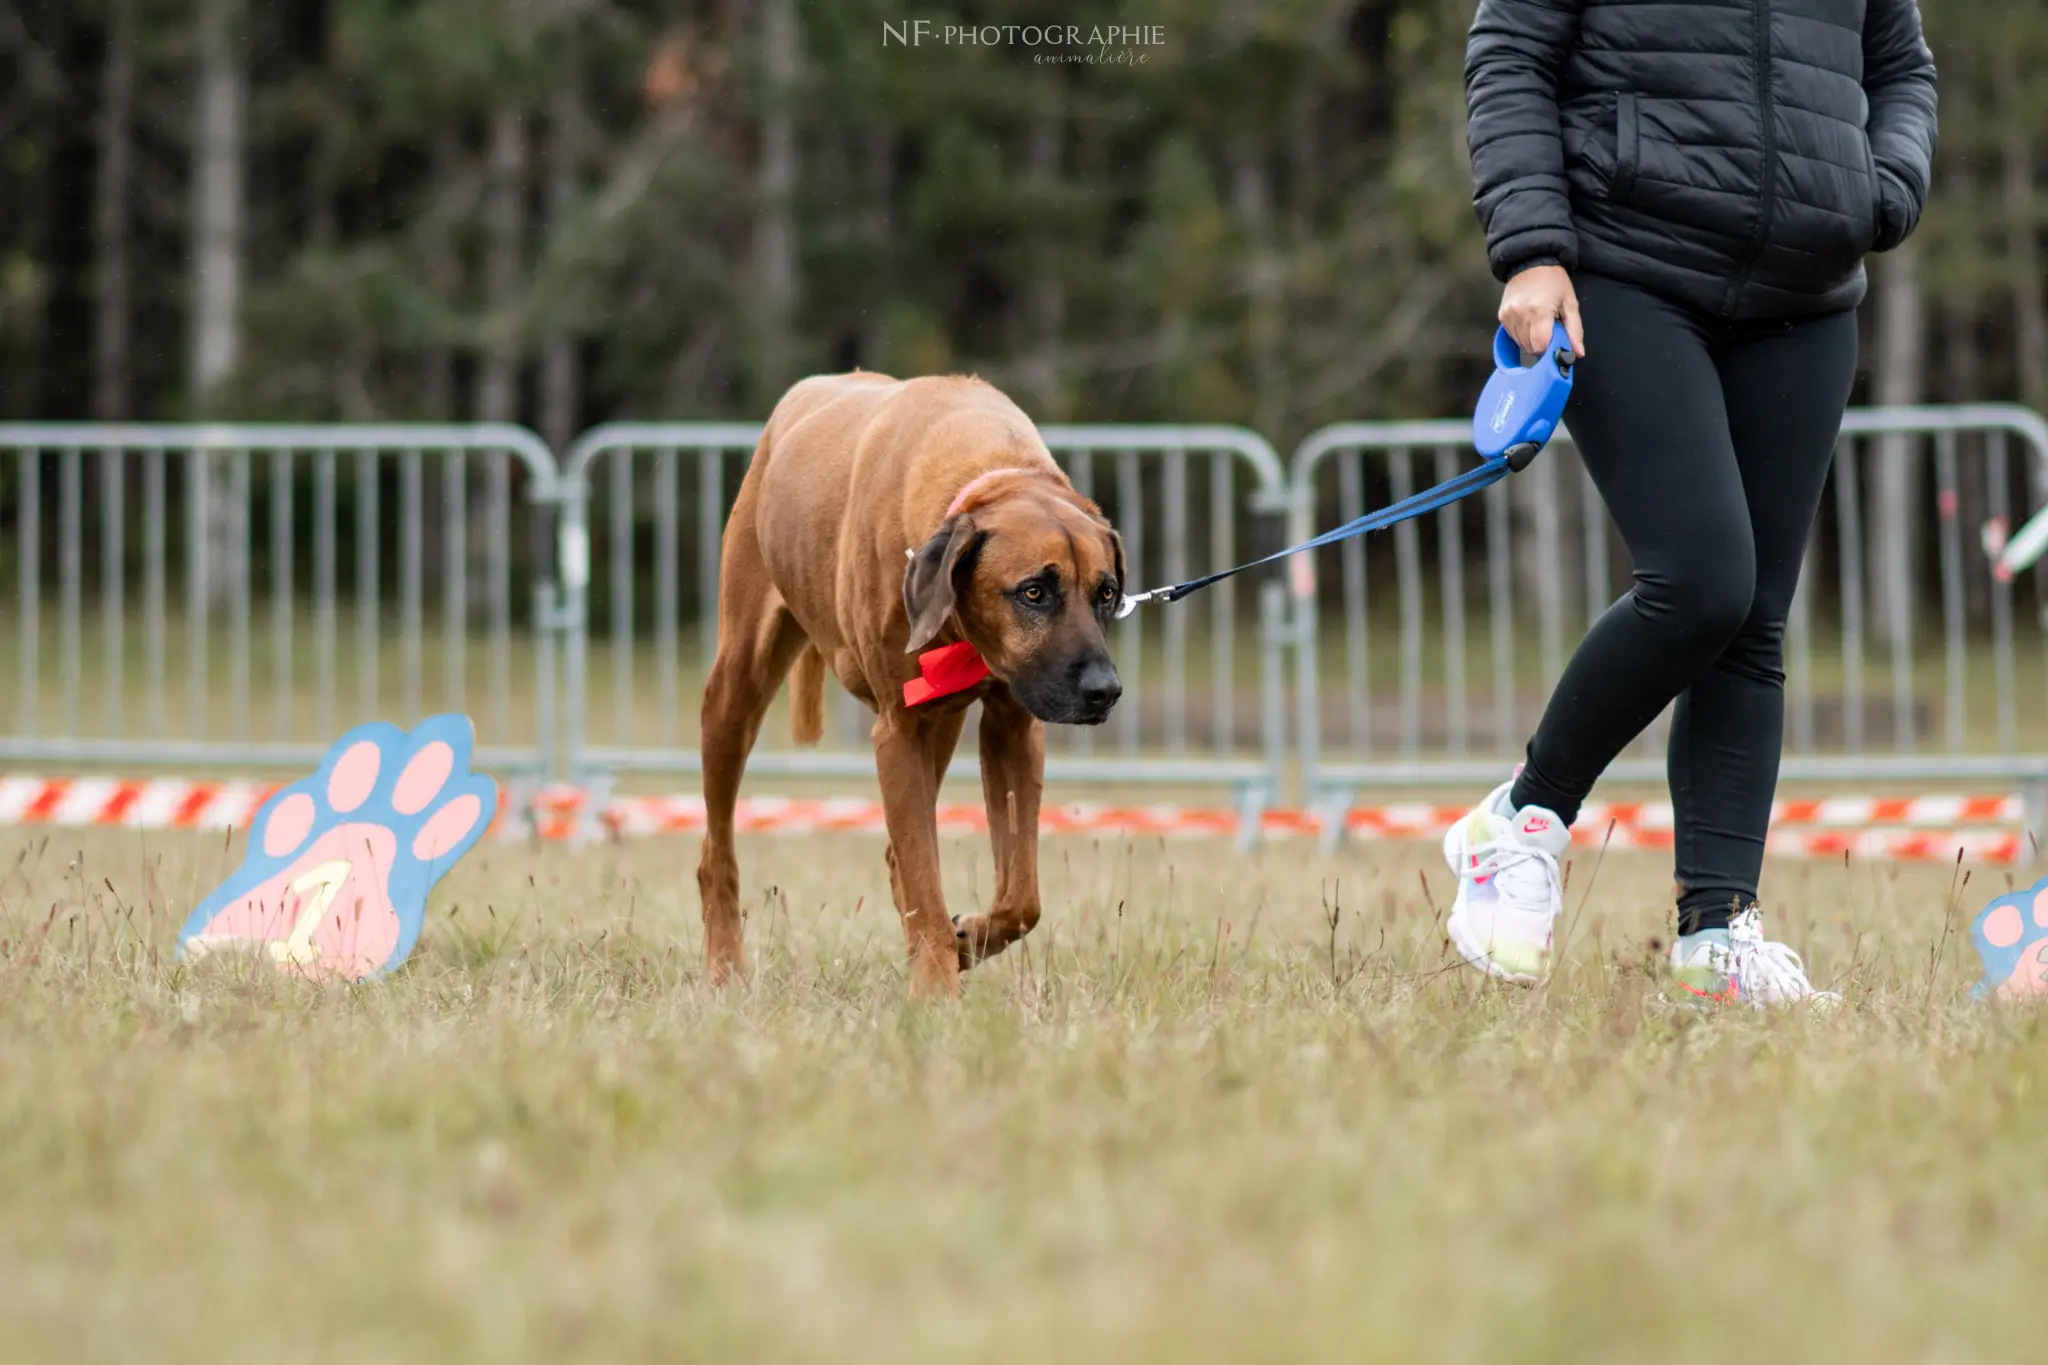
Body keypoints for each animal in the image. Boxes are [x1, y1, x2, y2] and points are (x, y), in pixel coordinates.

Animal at [700, 368, 1122, 998]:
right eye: (1033, 592)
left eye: (1107, 593)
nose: (1104, 691)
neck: (987, 471)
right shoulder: (897, 733)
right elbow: (925, 873)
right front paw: (935, 993)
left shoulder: (1013, 727)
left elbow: (1021, 898)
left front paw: (968, 939)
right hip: (736, 686)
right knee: (717, 852)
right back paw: (725, 965)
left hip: (940, 727)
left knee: (903, 859)